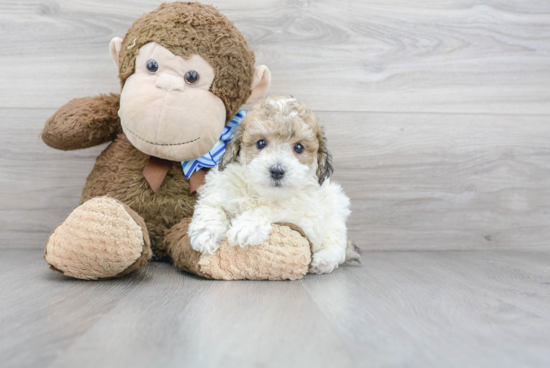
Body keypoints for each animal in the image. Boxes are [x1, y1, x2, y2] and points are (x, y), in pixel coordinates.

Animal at [190, 96, 362, 274]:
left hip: (337, 211)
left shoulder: (301, 211)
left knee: (337, 244)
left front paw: (246, 226)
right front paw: (206, 233)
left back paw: (323, 260)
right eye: (260, 143)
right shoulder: (221, 187)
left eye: (298, 147)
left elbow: (272, 208)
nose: (277, 171)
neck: (262, 193)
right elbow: (212, 205)